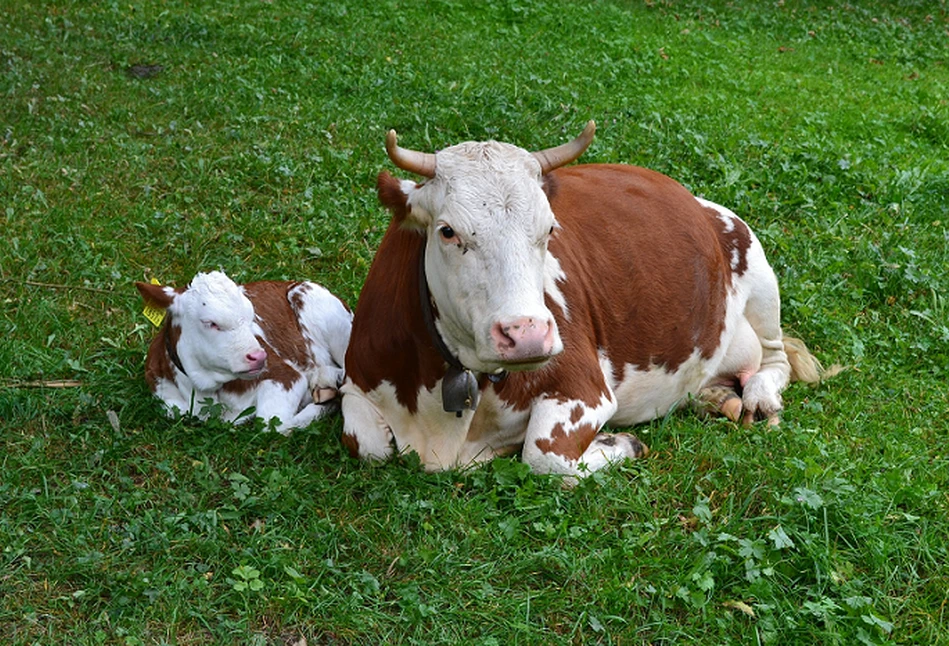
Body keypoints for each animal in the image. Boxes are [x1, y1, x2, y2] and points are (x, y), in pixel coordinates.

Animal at [136, 268, 352, 436]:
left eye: (251, 316)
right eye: (210, 322)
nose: (259, 356)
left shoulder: (287, 375)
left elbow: (270, 424)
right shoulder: (166, 399)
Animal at [340, 121, 824, 478]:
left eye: (550, 228)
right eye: (447, 231)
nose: (527, 335)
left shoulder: (584, 389)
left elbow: (545, 458)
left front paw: (621, 442)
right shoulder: (357, 381)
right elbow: (367, 444)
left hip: (759, 272)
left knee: (776, 359)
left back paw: (758, 397)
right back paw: (715, 397)